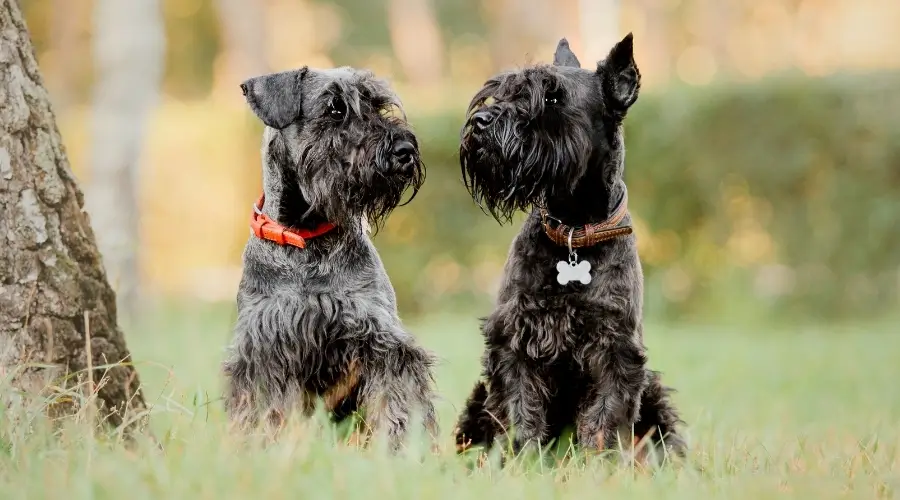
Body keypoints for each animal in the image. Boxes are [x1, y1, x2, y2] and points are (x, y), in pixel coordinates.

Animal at [223, 64, 438, 448]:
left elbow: (396, 401)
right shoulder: (263, 348)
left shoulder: (381, 340)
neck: (307, 237)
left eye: (378, 104)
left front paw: (401, 448)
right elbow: (263, 408)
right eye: (335, 109)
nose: (404, 149)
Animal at [454, 35, 684, 462]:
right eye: (503, 90)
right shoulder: (515, 339)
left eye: (554, 98)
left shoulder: (615, 350)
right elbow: (520, 411)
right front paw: (521, 461)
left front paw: (600, 465)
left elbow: (605, 419)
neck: (574, 233)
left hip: (654, 392)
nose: (482, 120)